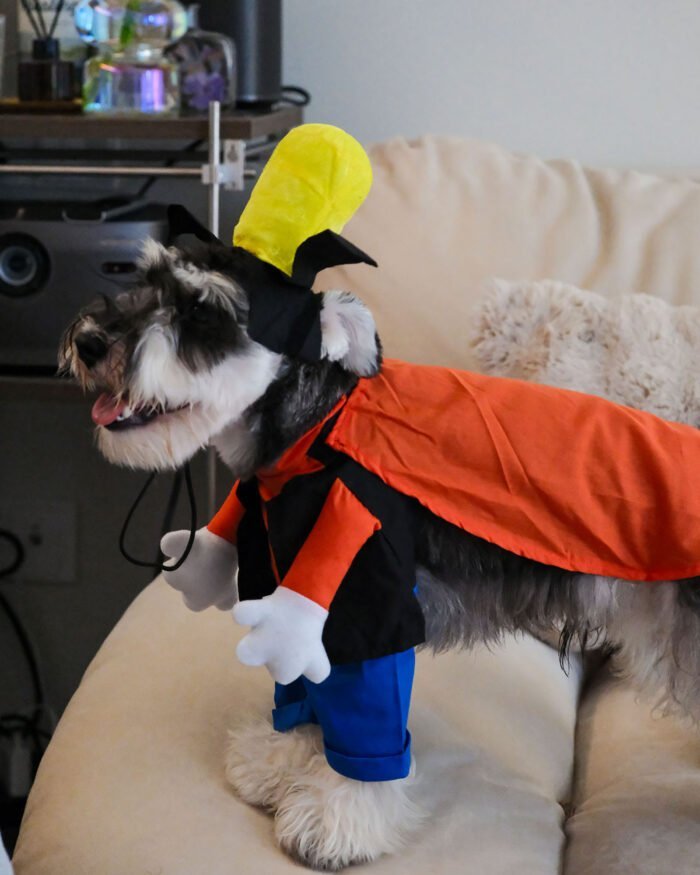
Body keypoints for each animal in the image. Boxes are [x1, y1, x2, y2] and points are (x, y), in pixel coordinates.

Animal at [61, 236, 700, 872]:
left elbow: (365, 724)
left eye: (202, 312)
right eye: (144, 278)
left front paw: (337, 819)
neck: (318, 434)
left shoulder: (365, 607)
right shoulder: (289, 592)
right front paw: (282, 760)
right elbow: (303, 693)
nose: (88, 342)